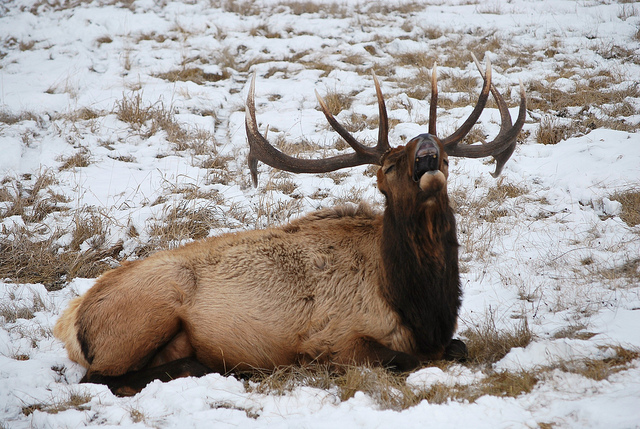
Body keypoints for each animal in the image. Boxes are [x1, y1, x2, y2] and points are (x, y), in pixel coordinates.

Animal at [53, 56, 524, 394]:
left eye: (445, 155)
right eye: (389, 166)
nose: (427, 149)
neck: (419, 305)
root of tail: (70, 322)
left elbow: (459, 348)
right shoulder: (335, 340)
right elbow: (409, 358)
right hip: (147, 314)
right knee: (101, 379)